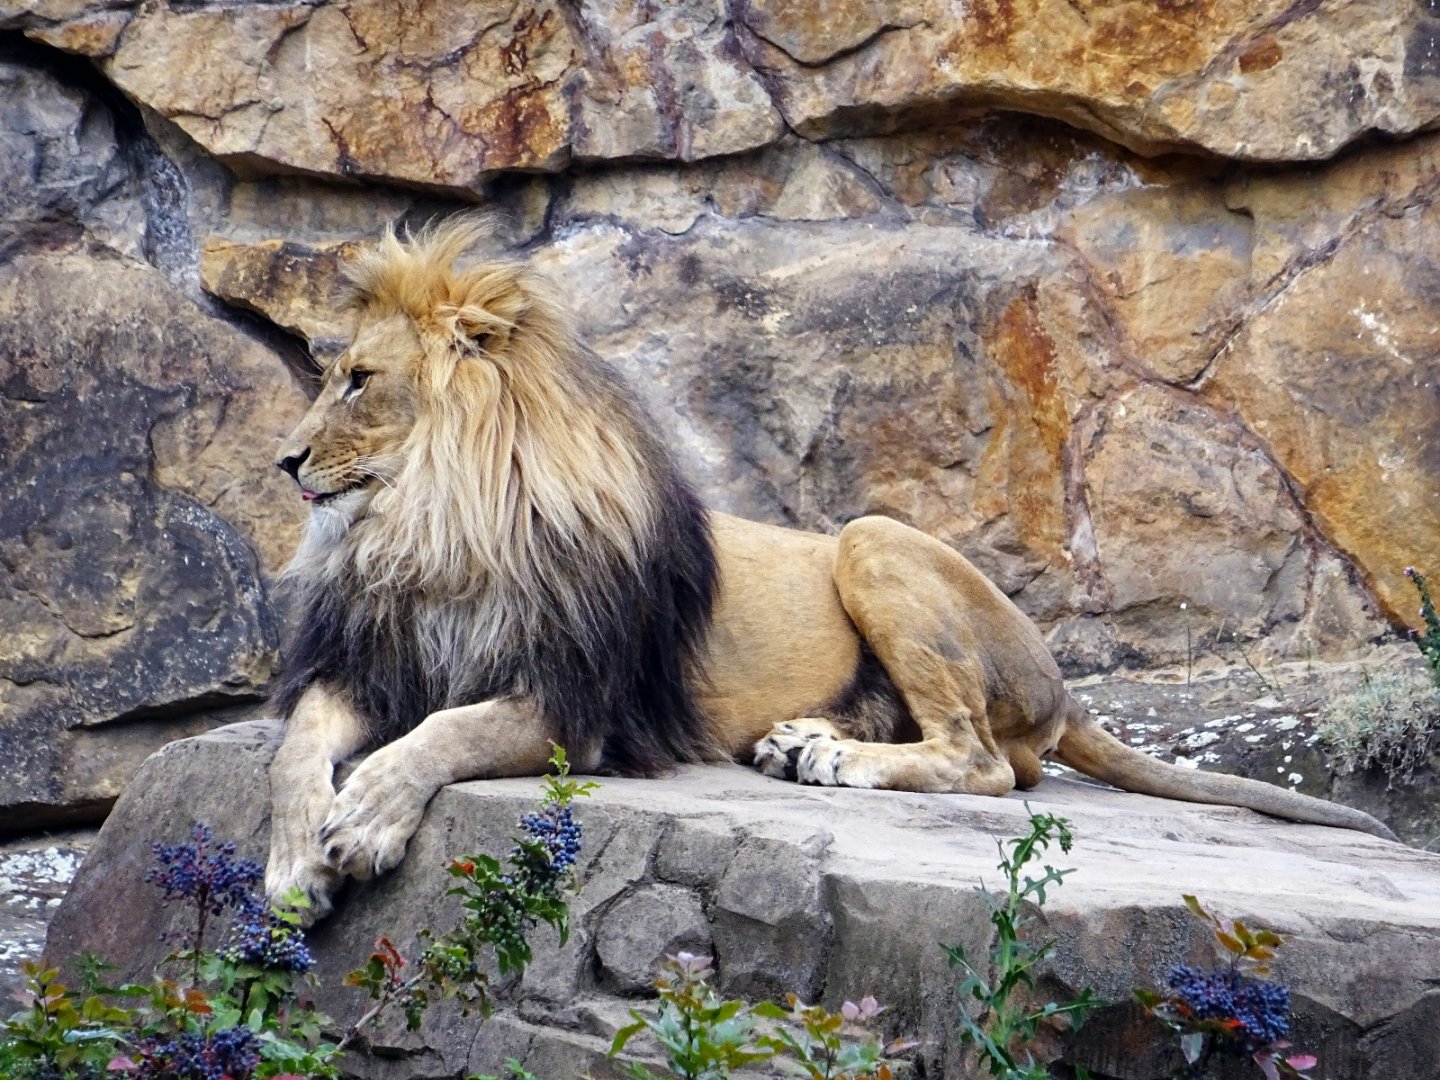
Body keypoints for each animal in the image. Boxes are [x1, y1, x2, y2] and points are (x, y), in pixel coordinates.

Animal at [264, 218, 1395, 919]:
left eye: (358, 380)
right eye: (329, 374)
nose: (284, 460)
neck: (436, 530)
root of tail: (1064, 686)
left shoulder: (577, 706)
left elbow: (442, 734)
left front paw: (366, 820)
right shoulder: (375, 664)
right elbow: (295, 751)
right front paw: (292, 865)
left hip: (871, 538)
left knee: (990, 764)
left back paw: (836, 760)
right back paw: (805, 740)